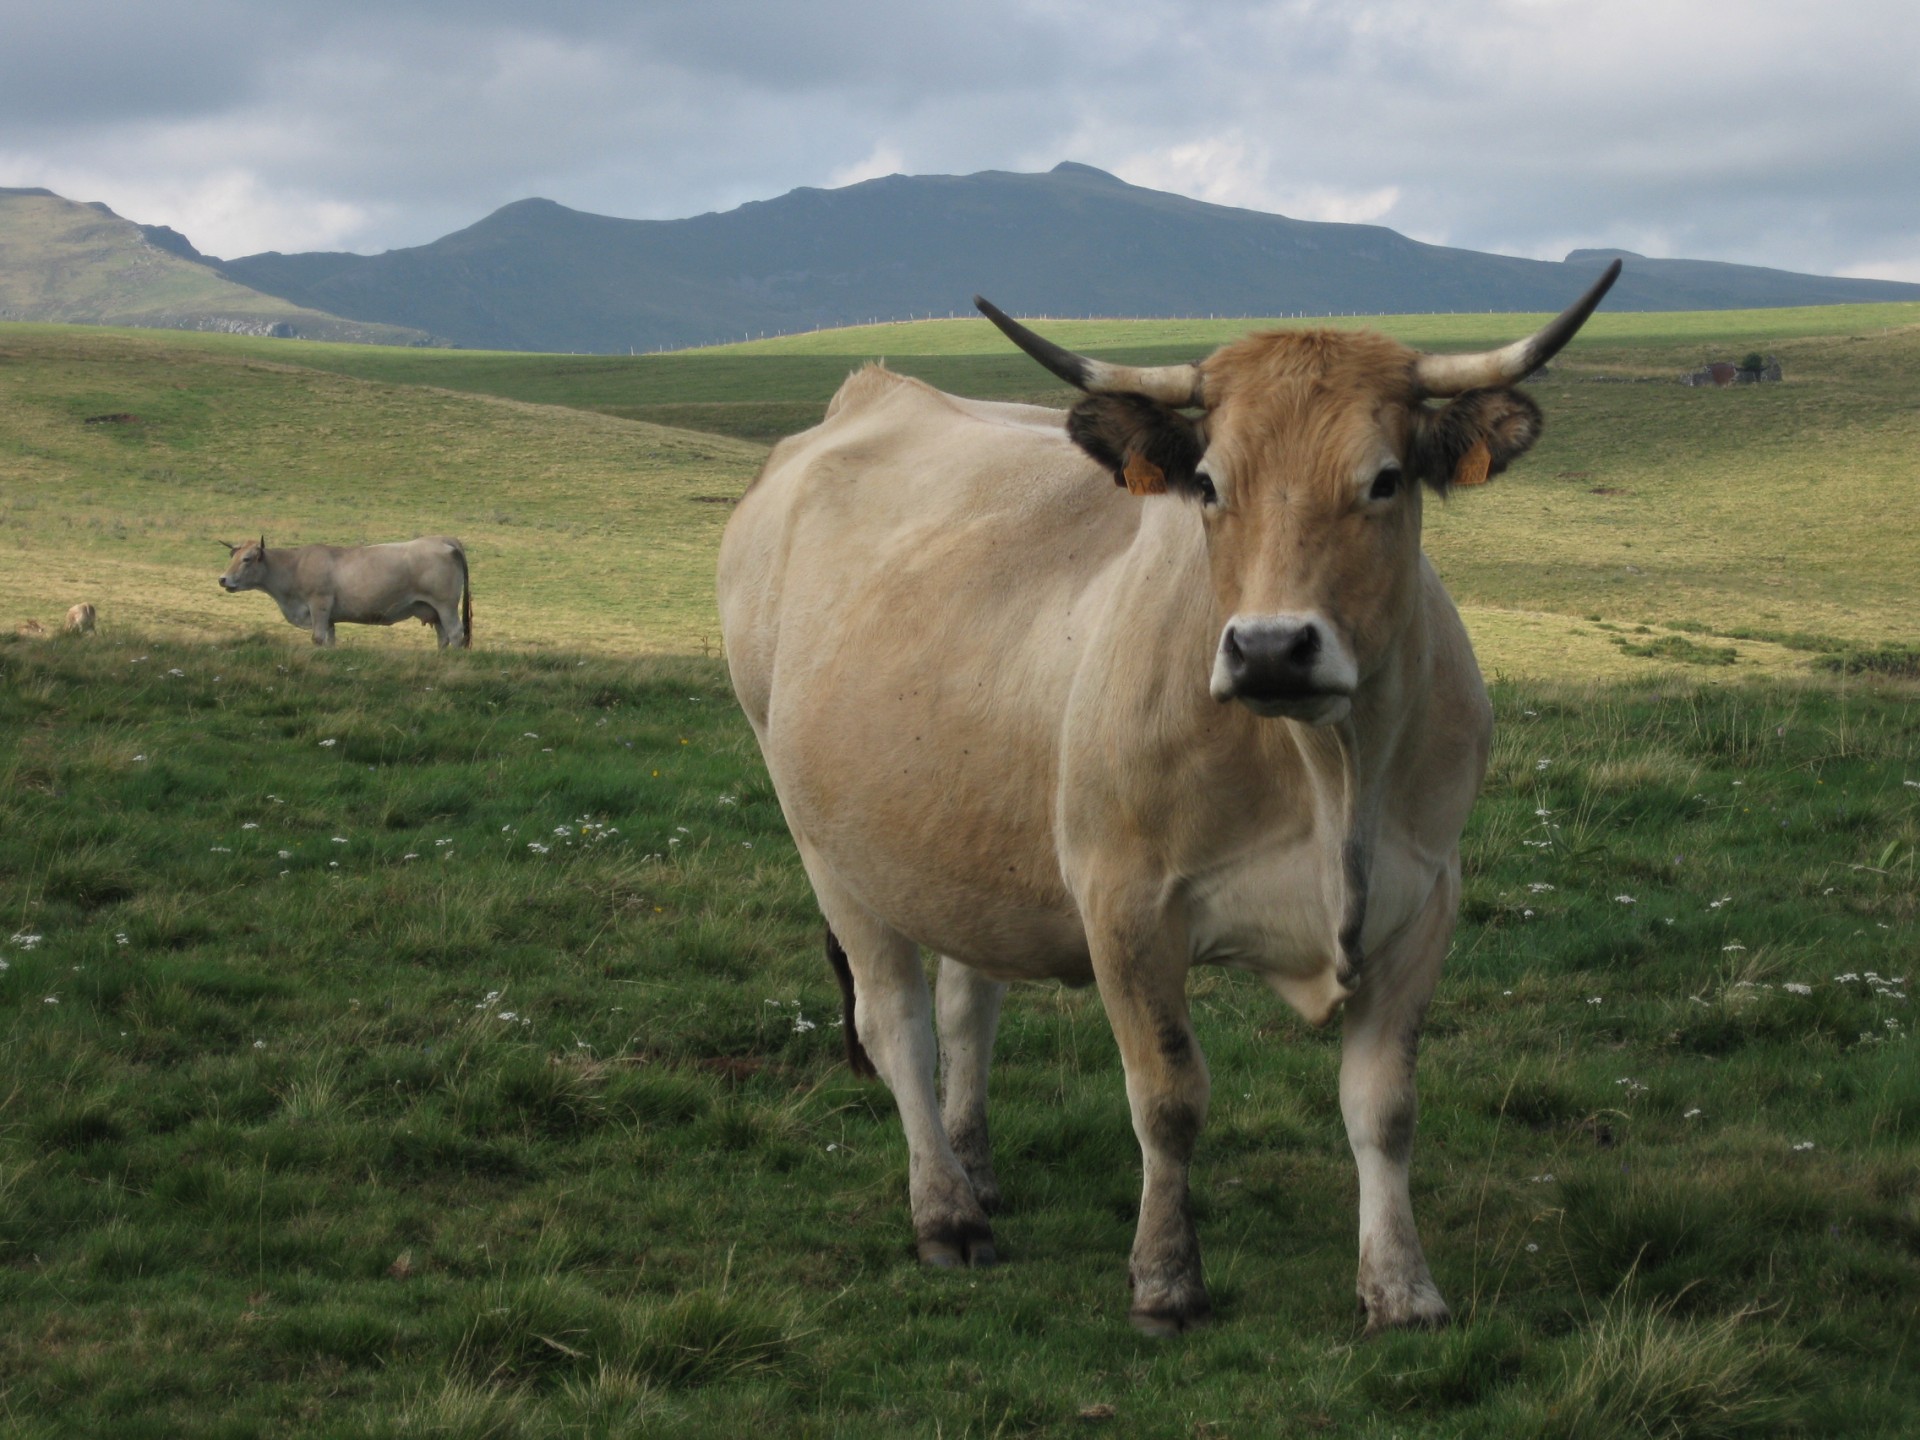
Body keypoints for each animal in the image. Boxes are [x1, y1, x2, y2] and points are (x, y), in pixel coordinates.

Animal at [216, 537, 470, 648]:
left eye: (247, 559)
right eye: (233, 556)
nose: (222, 579)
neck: (295, 566)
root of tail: (443, 540)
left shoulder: (319, 604)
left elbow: (318, 638)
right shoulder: (328, 616)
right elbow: (330, 640)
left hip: (446, 604)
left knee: (456, 633)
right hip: (431, 609)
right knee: (443, 636)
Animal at [721, 263, 1620, 1344]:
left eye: (1384, 480)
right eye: (1210, 484)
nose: (1271, 648)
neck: (1329, 769)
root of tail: (872, 393)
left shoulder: (1424, 901)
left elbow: (1384, 1106)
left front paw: (1402, 1288)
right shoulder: (1126, 905)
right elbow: (1168, 1097)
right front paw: (1164, 1280)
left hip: (961, 839)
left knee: (968, 1001)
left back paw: (976, 1172)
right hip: (828, 847)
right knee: (897, 1021)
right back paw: (945, 1213)